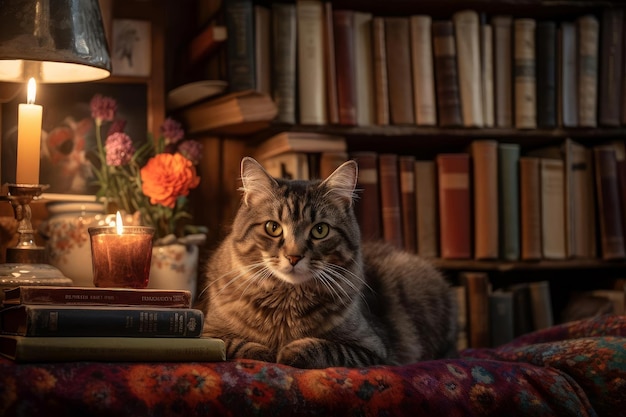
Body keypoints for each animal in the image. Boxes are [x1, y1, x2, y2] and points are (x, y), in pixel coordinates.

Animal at [197, 156, 456, 368]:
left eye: (320, 230)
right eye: (273, 227)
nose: (294, 256)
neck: (285, 301)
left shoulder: (374, 347)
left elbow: (323, 347)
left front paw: (287, 351)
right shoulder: (210, 332)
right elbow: (235, 345)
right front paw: (267, 352)